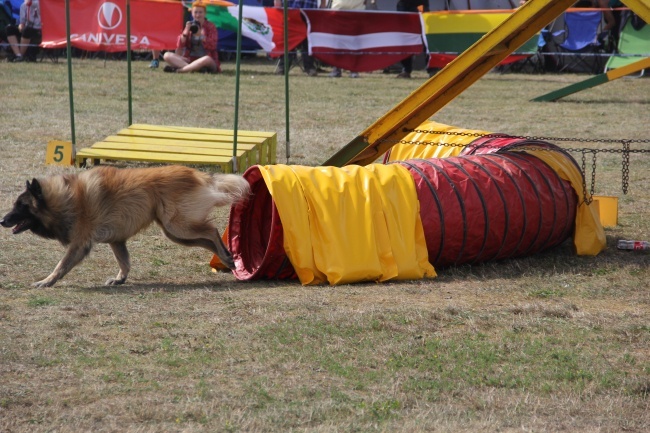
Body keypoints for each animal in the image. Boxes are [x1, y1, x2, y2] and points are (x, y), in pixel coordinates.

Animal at [0, 165, 249, 286]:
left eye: (21, 205)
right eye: (15, 204)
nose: (2, 220)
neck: (66, 199)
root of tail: (200, 175)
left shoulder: (80, 243)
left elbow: (61, 265)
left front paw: (46, 281)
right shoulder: (116, 240)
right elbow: (124, 262)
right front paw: (120, 279)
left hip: (178, 226)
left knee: (212, 231)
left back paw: (226, 256)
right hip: (175, 232)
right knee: (208, 240)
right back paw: (227, 257)